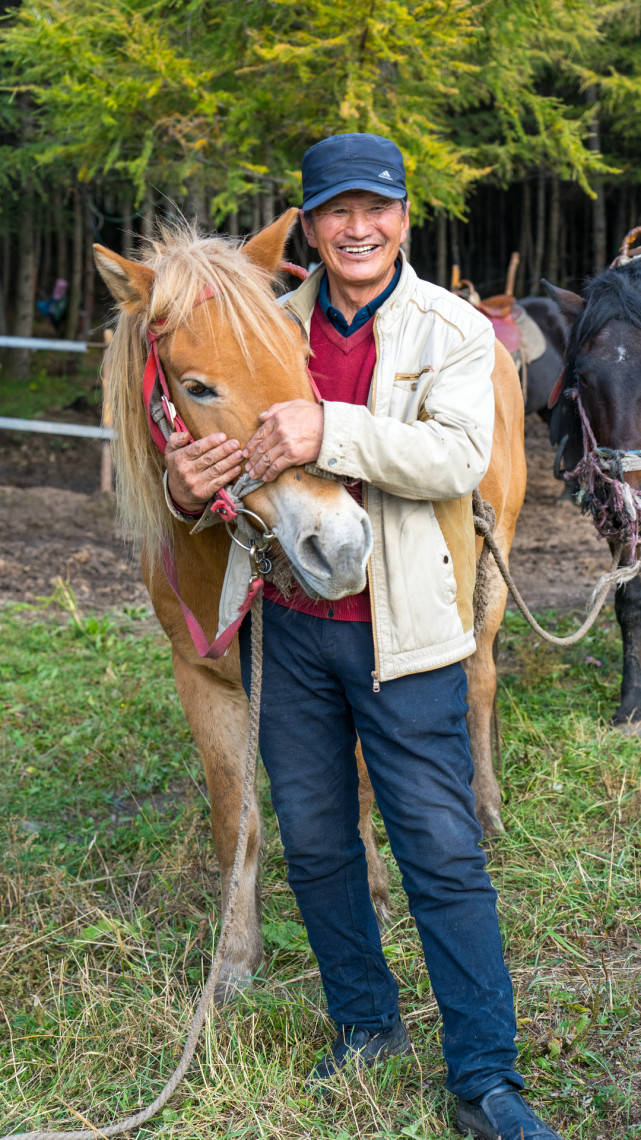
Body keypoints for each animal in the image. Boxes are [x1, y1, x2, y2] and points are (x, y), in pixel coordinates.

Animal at [93, 214, 524, 998]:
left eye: (298, 354)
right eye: (197, 386)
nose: (343, 543)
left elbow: (359, 788)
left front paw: (379, 896)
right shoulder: (200, 678)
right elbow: (236, 822)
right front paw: (234, 958)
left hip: (489, 571)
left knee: (477, 680)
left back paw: (484, 807)